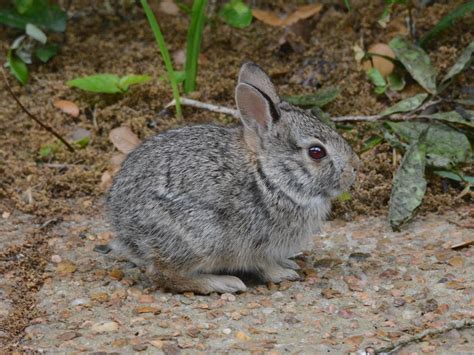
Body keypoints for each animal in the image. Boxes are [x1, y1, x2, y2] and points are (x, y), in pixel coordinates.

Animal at [107, 62, 360, 294]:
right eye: (316, 152)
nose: (354, 168)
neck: (269, 176)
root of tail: (123, 225)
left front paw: (289, 263)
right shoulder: (257, 244)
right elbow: (264, 265)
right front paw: (283, 274)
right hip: (199, 238)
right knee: (162, 273)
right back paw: (222, 283)